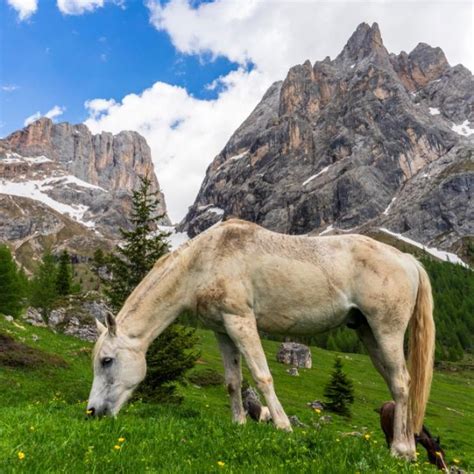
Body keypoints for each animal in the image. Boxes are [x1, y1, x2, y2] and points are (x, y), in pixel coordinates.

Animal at [87, 218, 436, 460]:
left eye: (107, 360)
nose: (92, 413)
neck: (204, 261)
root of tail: (407, 260)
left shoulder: (241, 320)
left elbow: (262, 375)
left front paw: (283, 427)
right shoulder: (222, 329)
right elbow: (233, 381)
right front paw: (239, 425)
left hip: (386, 330)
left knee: (402, 382)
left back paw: (401, 450)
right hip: (367, 332)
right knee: (396, 383)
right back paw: (406, 448)